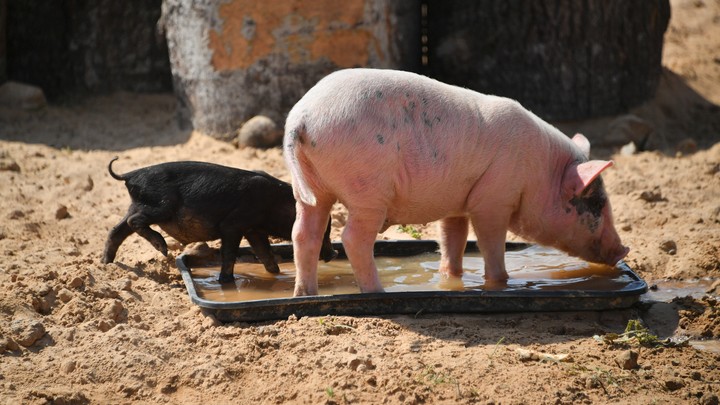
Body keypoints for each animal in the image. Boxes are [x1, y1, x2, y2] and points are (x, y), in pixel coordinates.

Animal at [284, 68, 628, 296]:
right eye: (597, 204)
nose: (624, 250)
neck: (540, 172)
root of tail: (302, 118)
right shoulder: (493, 199)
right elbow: (490, 244)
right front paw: (500, 284)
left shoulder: (458, 203)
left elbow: (454, 240)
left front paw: (451, 279)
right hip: (367, 189)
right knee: (353, 238)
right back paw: (377, 293)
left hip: (310, 189)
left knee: (303, 234)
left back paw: (305, 295)